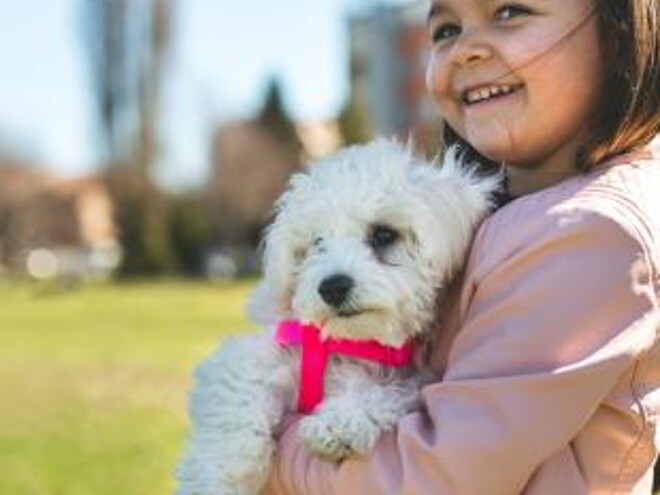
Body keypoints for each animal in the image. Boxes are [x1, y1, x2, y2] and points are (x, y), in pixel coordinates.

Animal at [178, 137, 498, 495]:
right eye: (317, 242)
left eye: (383, 234)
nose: (332, 287)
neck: (343, 343)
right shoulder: (253, 353)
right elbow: (237, 398)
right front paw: (219, 476)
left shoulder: (409, 379)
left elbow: (382, 393)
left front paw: (339, 423)